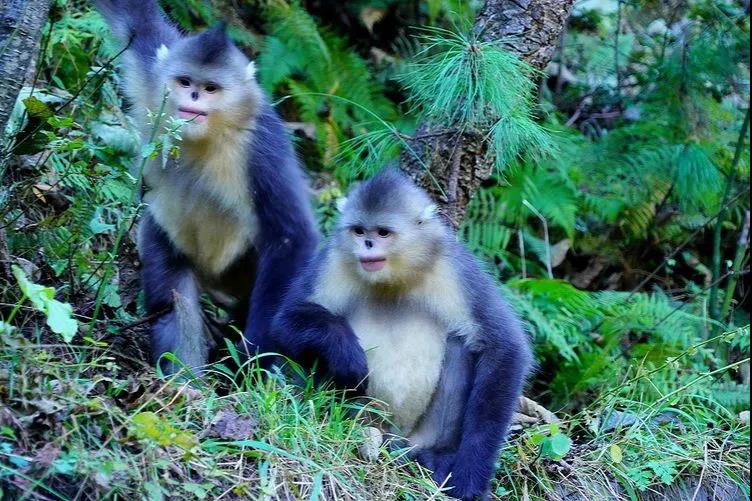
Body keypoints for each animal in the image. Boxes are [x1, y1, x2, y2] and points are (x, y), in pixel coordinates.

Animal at [94, 0, 318, 374]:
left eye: (211, 88)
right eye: (185, 82)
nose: (195, 95)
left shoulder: (262, 145)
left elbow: (291, 235)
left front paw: (255, 356)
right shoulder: (154, 72)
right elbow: (133, 18)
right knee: (174, 299)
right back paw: (182, 379)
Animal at [270, 169, 533, 500]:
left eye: (383, 233)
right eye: (359, 231)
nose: (368, 244)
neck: (393, 280)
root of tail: (394, 438)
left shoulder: (455, 267)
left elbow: (504, 346)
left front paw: (471, 474)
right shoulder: (335, 259)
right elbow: (284, 322)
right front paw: (344, 351)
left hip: (421, 435)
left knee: (461, 343)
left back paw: (437, 454)